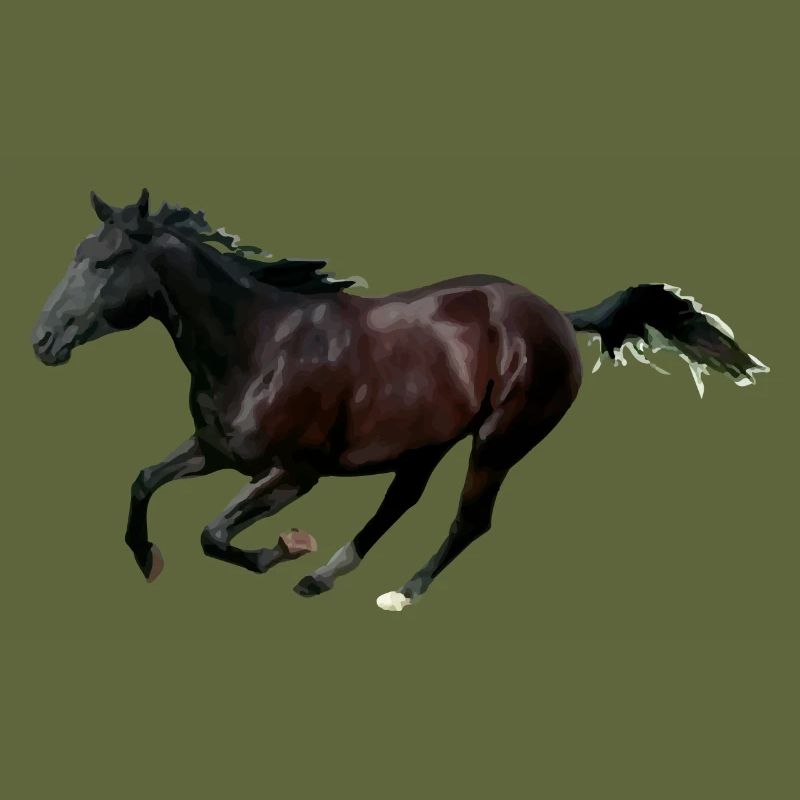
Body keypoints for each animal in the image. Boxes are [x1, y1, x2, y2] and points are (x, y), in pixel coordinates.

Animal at [31, 189, 770, 612]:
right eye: (78, 251)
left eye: (105, 262)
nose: (41, 339)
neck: (258, 342)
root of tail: (557, 315)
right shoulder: (217, 450)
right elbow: (142, 481)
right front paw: (147, 559)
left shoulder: (293, 472)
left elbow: (214, 534)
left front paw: (286, 548)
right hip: (428, 441)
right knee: (399, 503)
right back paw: (326, 577)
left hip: (499, 440)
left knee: (469, 521)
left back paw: (398, 593)